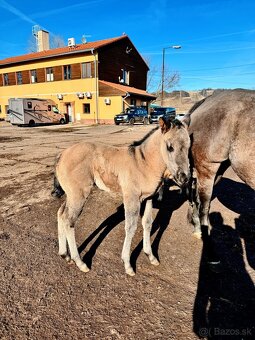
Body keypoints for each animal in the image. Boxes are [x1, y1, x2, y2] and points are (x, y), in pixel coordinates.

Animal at [52, 118, 191, 274]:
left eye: (189, 146)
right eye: (169, 147)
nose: (185, 177)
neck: (144, 164)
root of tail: (61, 155)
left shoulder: (148, 198)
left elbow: (147, 224)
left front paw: (151, 256)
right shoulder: (132, 198)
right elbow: (131, 227)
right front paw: (127, 264)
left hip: (71, 195)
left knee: (61, 214)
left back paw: (65, 255)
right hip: (78, 195)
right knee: (69, 221)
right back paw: (80, 262)